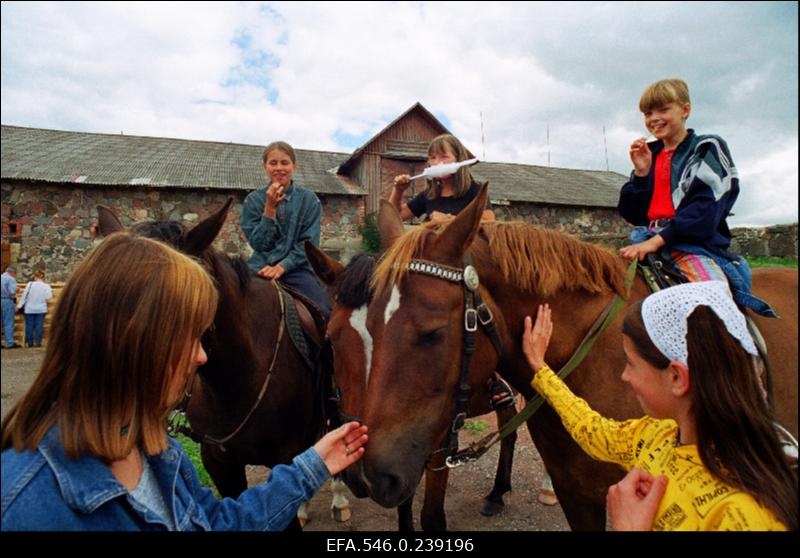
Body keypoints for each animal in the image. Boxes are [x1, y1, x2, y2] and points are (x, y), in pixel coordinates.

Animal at [304, 249, 520, 532]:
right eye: (331, 338)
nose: (362, 474)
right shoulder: (405, 450)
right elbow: (404, 499)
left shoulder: (438, 441)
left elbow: (431, 515)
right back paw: (497, 492)